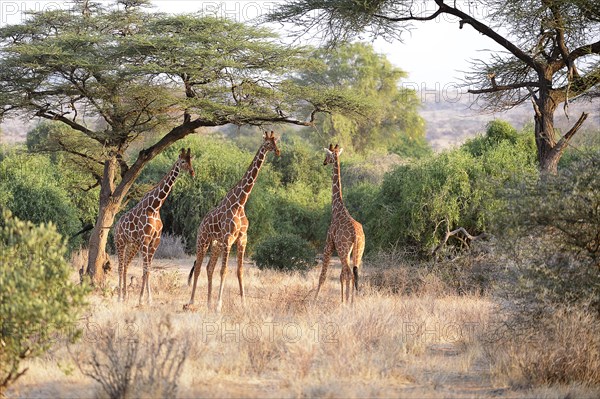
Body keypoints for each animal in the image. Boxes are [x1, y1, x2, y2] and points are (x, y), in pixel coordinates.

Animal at [115, 148, 195, 304]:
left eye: (191, 160)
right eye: (183, 161)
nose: (192, 172)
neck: (155, 207)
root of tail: (116, 226)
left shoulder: (154, 241)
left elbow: (149, 269)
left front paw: (148, 298)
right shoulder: (145, 240)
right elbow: (145, 268)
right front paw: (142, 298)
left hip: (132, 245)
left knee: (126, 265)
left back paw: (125, 295)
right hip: (120, 242)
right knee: (120, 266)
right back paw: (120, 297)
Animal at [185, 131, 282, 312]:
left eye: (276, 141)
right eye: (267, 143)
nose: (278, 151)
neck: (240, 203)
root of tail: (201, 223)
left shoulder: (242, 238)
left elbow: (239, 270)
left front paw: (243, 305)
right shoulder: (229, 239)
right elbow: (224, 271)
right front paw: (219, 305)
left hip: (216, 244)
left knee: (209, 268)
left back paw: (208, 303)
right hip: (203, 241)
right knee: (199, 268)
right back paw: (192, 302)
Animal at [316, 144, 364, 304]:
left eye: (328, 155)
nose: (324, 162)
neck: (337, 208)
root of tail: (356, 235)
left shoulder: (329, 243)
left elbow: (323, 275)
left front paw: (313, 299)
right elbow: (341, 275)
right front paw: (343, 300)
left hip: (343, 250)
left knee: (348, 273)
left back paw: (348, 303)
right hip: (358, 251)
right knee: (354, 273)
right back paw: (352, 302)